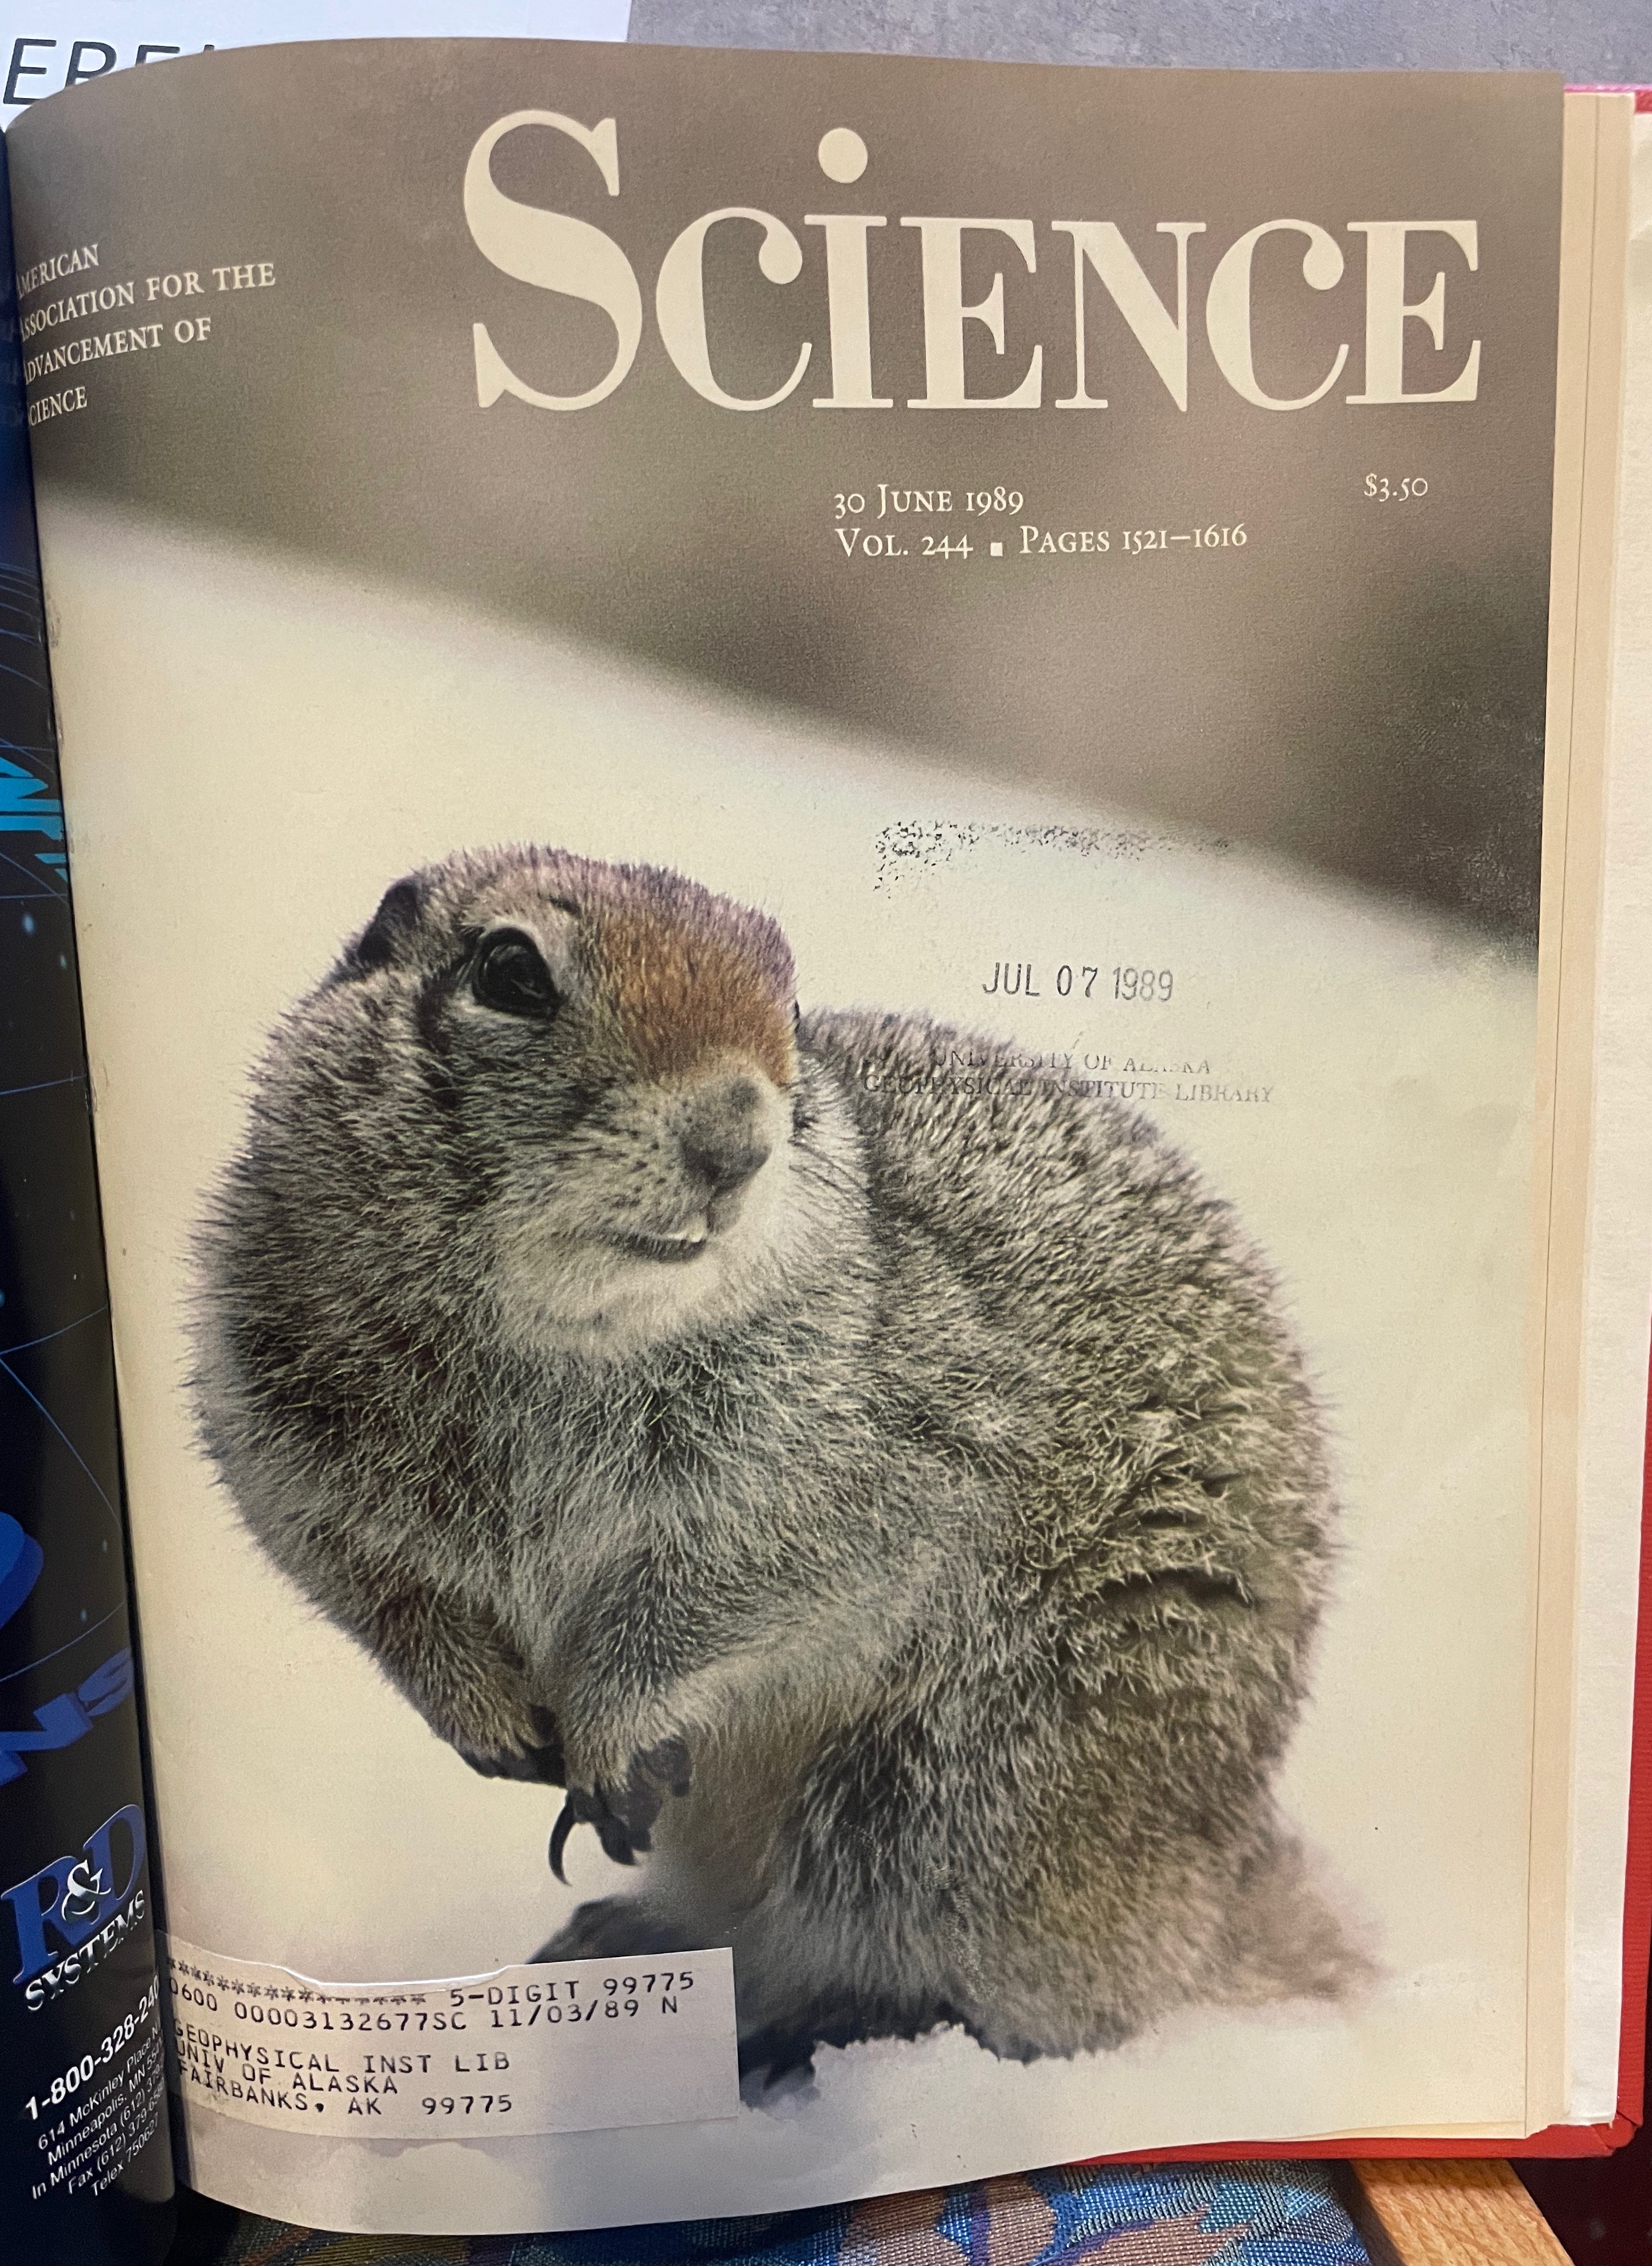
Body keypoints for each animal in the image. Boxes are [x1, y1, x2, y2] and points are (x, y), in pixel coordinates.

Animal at [194, 838, 1359, 2075]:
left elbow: (723, 1600)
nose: (735, 1143)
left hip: (959, 1798)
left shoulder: (859, 1481)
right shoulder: (286, 1441)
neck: (560, 1344)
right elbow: (383, 1594)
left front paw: (608, 1734)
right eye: (510, 972)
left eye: (787, 1009)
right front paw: (490, 1718)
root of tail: (1214, 1898)